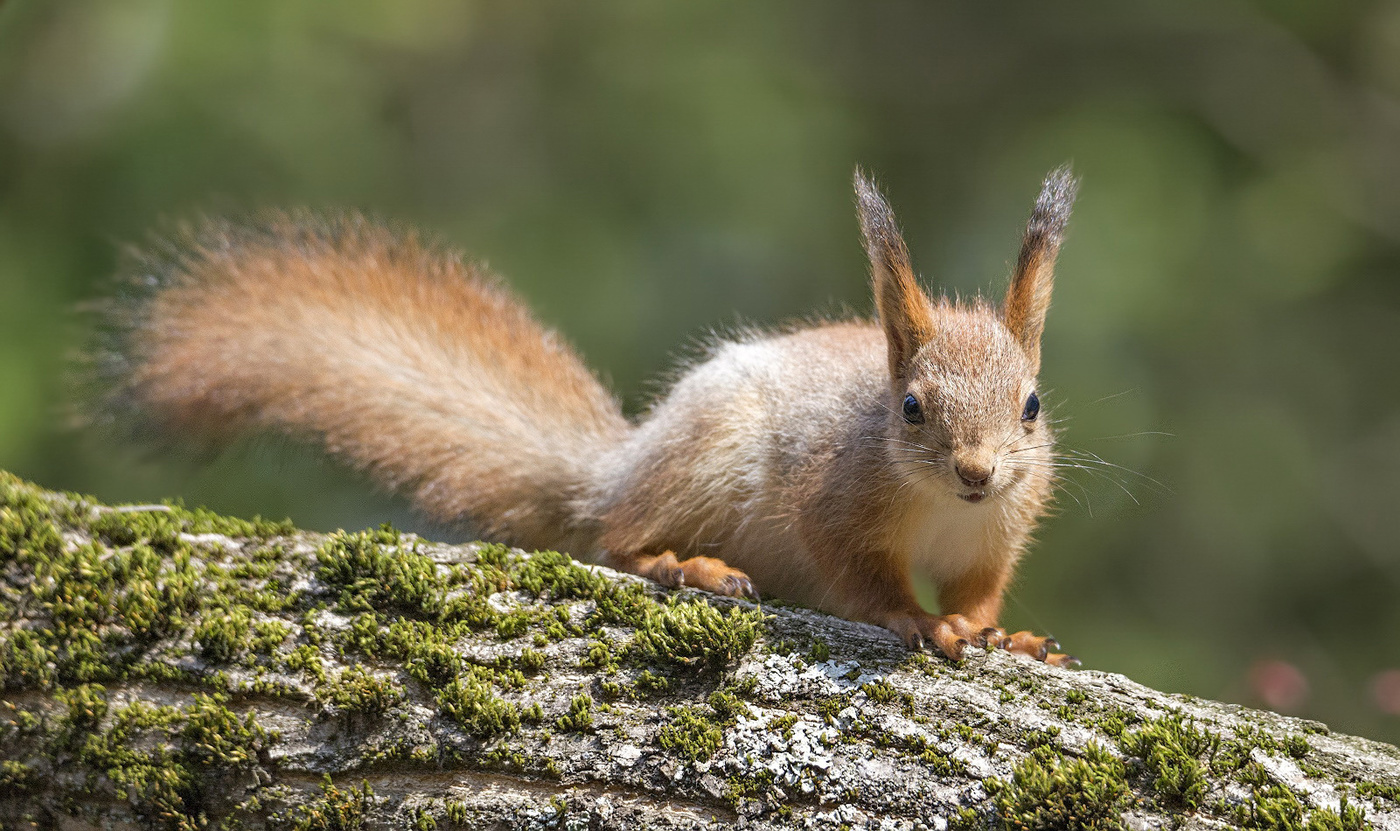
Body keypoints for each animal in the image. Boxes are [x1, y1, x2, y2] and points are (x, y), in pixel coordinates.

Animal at [93, 165, 1080, 663]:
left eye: (1031, 405)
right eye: (910, 408)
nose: (977, 472)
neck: (942, 511)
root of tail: (615, 470)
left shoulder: (998, 532)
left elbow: (978, 588)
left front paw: (1001, 631)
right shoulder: (833, 500)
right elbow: (859, 574)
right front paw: (915, 619)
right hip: (704, 460)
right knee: (612, 540)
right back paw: (684, 565)